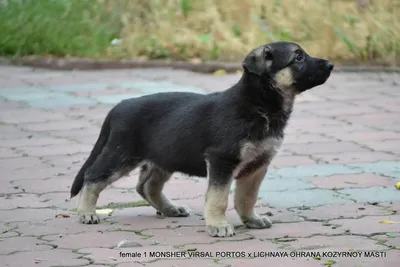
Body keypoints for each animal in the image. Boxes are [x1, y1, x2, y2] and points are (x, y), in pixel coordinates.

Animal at [70, 42, 332, 239]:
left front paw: (251, 219)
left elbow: (246, 197)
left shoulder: (257, 165)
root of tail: (119, 106)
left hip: (164, 156)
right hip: (121, 154)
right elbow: (218, 198)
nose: (331, 64)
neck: (259, 104)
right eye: (298, 57)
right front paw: (218, 225)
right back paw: (87, 213)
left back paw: (170, 209)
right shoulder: (222, 160)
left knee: (147, 186)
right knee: (93, 176)